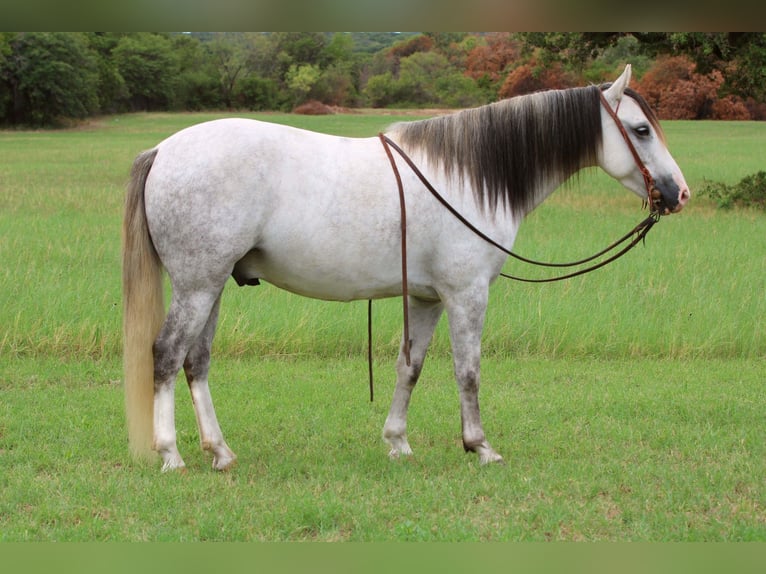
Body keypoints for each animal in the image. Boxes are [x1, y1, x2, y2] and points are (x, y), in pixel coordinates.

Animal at [124, 66, 688, 472]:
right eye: (641, 129)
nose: (679, 193)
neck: (469, 176)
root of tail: (164, 150)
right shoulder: (466, 293)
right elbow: (467, 370)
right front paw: (480, 446)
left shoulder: (426, 297)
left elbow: (410, 365)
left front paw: (397, 442)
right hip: (197, 286)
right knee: (167, 355)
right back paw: (170, 454)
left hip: (212, 286)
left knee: (196, 361)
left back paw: (220, 452)